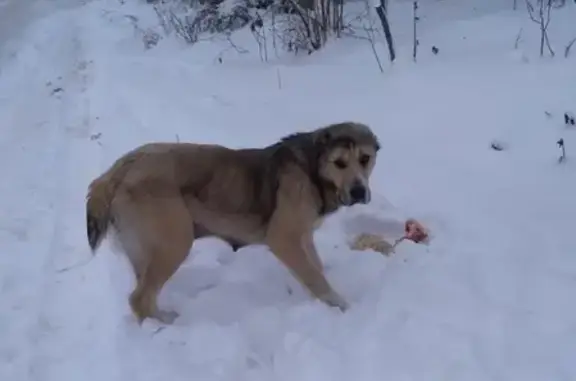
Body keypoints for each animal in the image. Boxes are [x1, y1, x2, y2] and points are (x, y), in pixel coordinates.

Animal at [85, 120, 380, 322]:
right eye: (339, 163)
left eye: (365, 159)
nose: (358, 191)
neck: (312, 168)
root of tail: (121, 167)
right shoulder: (283, 238)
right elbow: (314, 277)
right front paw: (339, 306)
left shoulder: (304, 236)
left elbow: (315, 268)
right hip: (175, 241)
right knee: (139, 299)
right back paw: (166, 324)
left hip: (145, 249)